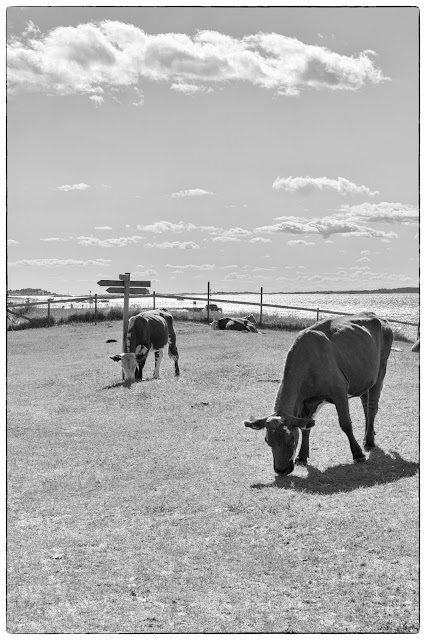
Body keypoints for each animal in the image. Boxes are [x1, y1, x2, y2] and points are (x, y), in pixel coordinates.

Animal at [245, 312, 394, 478]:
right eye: (267, 441)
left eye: (291, 440)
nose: (281, 470)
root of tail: (376, 316)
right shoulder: (305, 402)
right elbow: (306, 427)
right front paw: (302, 457)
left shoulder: (339, 391)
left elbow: (345, 423)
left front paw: (357, 454)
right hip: (364, 378)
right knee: (365, 404)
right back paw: (369, 433)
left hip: (380, 373)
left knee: (372, 408)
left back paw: (369, 442)